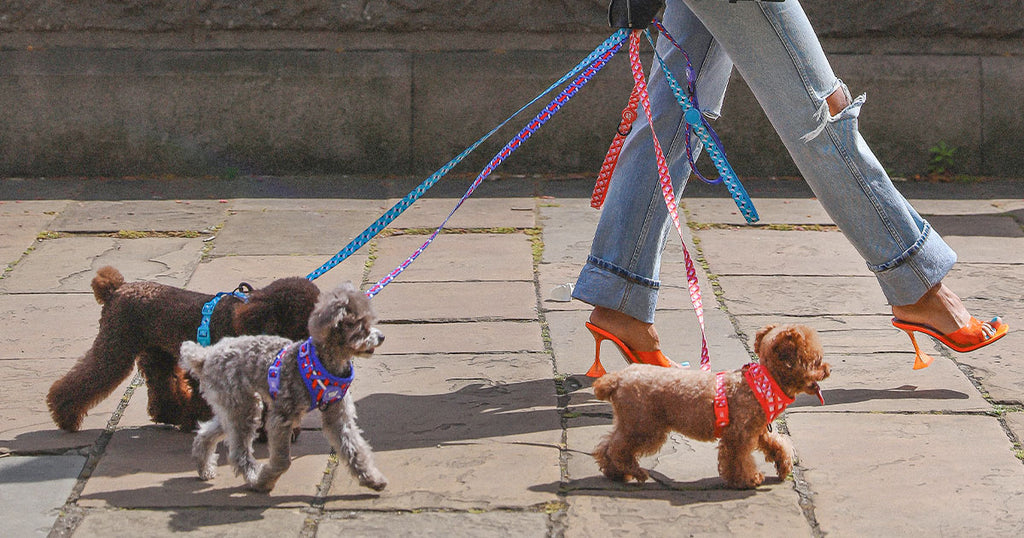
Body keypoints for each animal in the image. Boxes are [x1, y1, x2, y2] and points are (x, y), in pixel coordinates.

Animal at [46, 264, 319, 432]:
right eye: (305, 320)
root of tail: (117, 288)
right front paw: (197, 420)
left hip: (156, 352)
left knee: (161, 384)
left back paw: (171, 414)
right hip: (116, 347)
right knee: (89, 377)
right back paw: (65, 416)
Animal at [178, 282, 385, 493]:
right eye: (360, 325)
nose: (382, 336)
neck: (322, 362)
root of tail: (206, 355)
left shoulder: (338, 417)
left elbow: (355, 448)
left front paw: (372, 479)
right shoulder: (281, 418)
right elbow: (283, 461)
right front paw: (266, 479)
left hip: (234, 406)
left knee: (206, 433)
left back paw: (204, 467)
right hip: (243, 406)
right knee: (238, 452)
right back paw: (253, 478)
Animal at [598, 325, 827, 487]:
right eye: (817, 361)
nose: (828, 369)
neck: (763, 383)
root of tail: (617, 379)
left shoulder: (759, 430)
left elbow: (777, 444)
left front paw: (783, 465)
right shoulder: (738, 434)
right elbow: (739, 459)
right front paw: (748, 479)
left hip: (632, 423)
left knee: (607, 446)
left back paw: (615, 473)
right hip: (645, 426)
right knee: (618, 449)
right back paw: (634, 471)